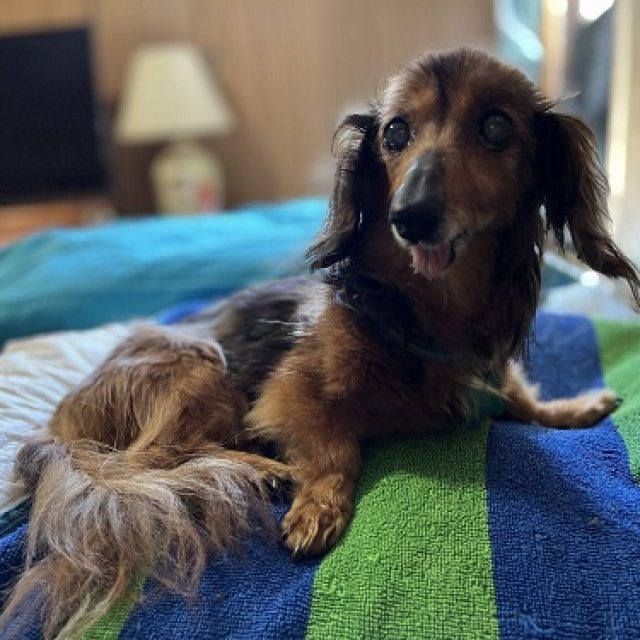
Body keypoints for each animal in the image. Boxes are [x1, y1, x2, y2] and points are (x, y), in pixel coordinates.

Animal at [3, 48, 639, 638]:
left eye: (496, 127)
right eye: (395, 132)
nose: (411, 216)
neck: (428, 313)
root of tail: (59, 423)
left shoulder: (488, 371)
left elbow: (523, 400)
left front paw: (574, 407)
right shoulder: (289, 396)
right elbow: (337, 449)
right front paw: (319, 505)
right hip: (197, 367)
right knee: (150, 460)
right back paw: (262, 470)